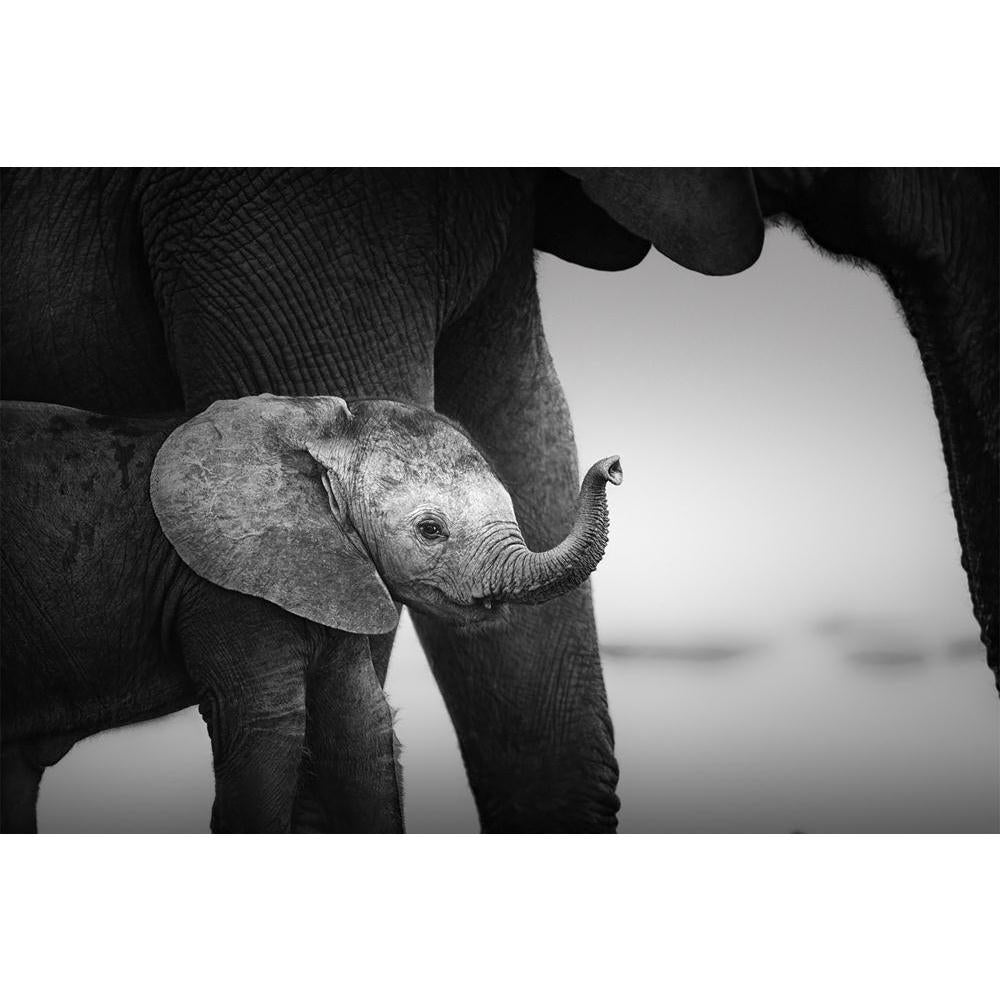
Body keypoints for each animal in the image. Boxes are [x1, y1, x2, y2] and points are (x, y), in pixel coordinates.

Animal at [0, 393, 622, 832]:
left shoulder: (329, 569)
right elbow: (269, 728)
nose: (613, 465)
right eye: (430, 530)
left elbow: (361, 724)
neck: (314, 432)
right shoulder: (222, 586)